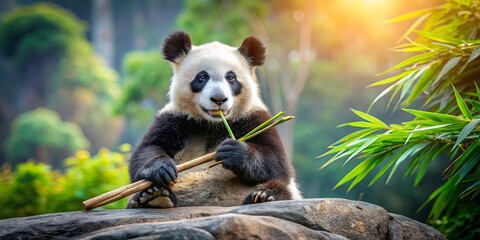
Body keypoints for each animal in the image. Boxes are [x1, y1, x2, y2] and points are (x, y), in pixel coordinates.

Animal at [126, 31, 300, 208]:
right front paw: (162, 169)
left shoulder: (255, 118)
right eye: (202, 77)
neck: (213, 124)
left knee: (280, 187)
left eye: (231, 77)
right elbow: (148, 149)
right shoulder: (175, 119)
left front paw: (233, 151)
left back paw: (263, 195)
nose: (219, 99)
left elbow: (277, 163)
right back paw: (153, 195)